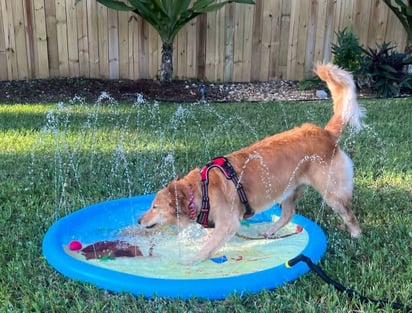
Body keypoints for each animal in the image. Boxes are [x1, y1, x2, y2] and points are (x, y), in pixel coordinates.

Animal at [138, 63, 364, 264]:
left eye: (154, 207)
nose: (139, 220)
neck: (200, 192)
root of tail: (325, 133)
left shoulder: (228, 224)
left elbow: (208, 246)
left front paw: (191, 260)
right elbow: (208, 239)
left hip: (331, 191)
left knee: (348, 214)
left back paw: (356, 235)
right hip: (289, 188)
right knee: (288, 214)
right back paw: (269, 231)